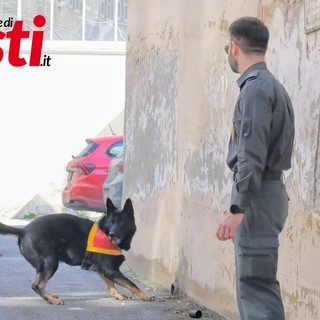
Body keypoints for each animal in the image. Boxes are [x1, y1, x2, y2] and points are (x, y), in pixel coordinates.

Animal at [0, 198, 155, 304]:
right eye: (111, 223)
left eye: (122, 222)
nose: (112, 234)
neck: (104, 231)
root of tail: (24, 230)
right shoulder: (111, 270)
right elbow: (131, 284)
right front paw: (145, 295)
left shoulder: (101, 270)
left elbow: (110, 284)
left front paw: (117, 295)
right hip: (50, 262)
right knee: (37, 285)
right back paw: (52, 300)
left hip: (46, 264)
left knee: (39, 284)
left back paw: (51, 296)